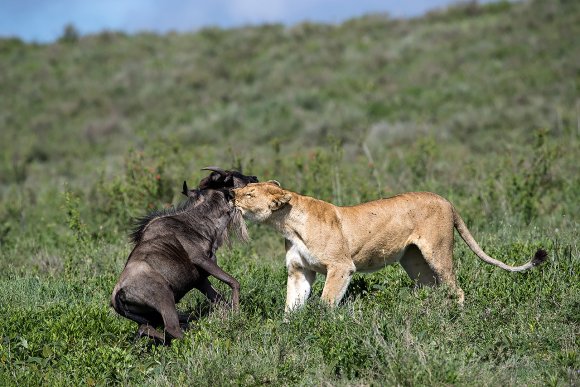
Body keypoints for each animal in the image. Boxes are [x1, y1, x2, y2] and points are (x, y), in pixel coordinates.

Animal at [232, 182, 548, 312]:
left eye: (249, 193)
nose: (230, 193)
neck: (287, 223)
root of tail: (445, 199)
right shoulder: (299, 270)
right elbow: (292, 305)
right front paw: (290, 331)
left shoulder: (341, 266)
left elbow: (326, 301)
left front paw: (321, 325)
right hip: (413, 260)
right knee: (432, 288)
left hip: (438, 251)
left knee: (455, 288)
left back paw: (456, 317)